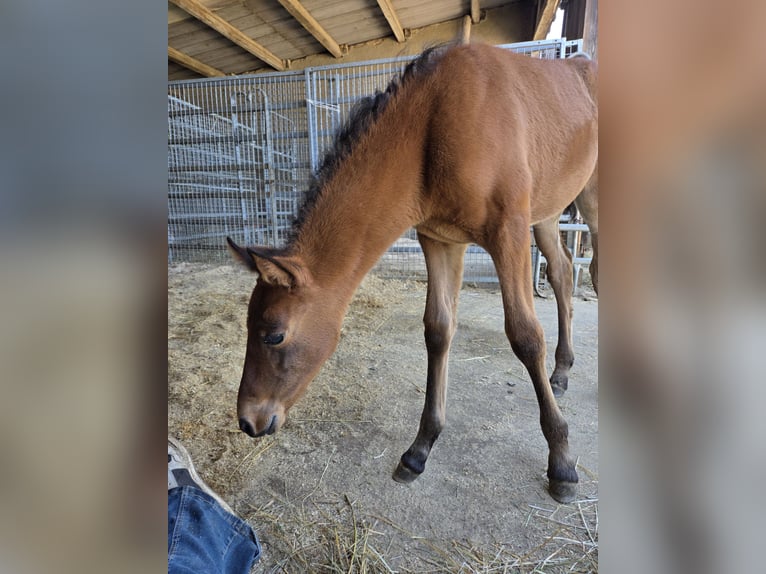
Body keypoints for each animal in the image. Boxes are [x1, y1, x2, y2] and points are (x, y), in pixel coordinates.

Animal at [227, 43, 598, 503]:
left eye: (274, 335)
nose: (248, 421)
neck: (435, 121)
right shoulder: (439, 240)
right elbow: (438, 330)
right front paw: (419, 450)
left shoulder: (507, 231)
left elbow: (526, 337)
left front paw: (562, 462)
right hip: (548, 211)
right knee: (563, 272)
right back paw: (562, 371)